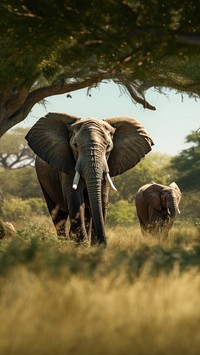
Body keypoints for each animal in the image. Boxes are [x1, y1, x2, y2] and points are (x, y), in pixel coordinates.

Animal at [25, 112, 153, 246]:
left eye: (108, 147)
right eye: (75, 146)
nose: (104, 241)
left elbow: (101, 199)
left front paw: (95, 246)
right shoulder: (66, 165)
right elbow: (75, 198)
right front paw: (82, 245)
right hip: (42, 180)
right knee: (58, 215)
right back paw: (64, 243)